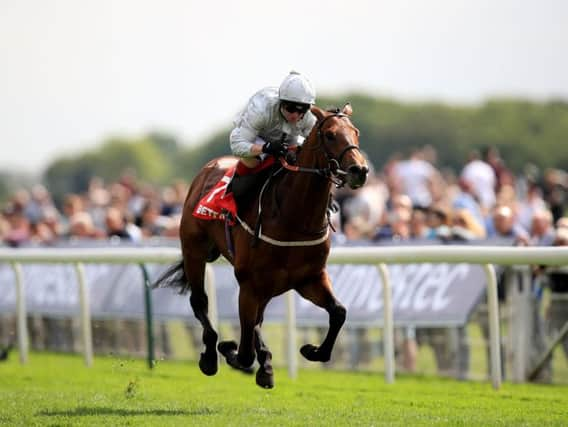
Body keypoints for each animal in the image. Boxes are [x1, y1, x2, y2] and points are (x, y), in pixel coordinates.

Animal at [155, 103, 368, 388]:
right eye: (331, 135)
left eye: (356, 132)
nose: (360, 170)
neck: (293, 218)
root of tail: (208, 168)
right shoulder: (250, 284)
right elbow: (244, 350)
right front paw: (232, 351)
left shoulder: (308, 279)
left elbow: (339, 312)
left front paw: (311, 351)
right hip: (194, 251)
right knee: (200, 301)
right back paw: (211, 356)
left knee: (256, 319)